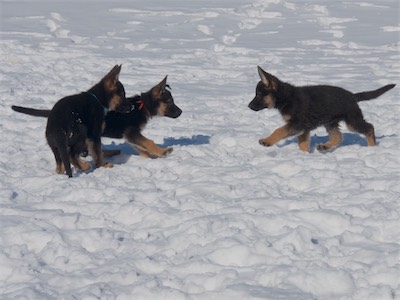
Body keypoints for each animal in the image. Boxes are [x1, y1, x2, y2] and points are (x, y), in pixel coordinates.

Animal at [248, 67, 396, 154]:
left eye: (259, 94)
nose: (249, 106)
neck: (286, 97)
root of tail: (352, 96)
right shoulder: (304, 128)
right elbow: (302, 143)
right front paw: (304, 155)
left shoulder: (297, 124)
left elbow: (279, 130)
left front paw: (267, 141)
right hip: (330, 122)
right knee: (338, 136)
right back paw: (325, 147)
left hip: (351, 120)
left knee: (369, 127)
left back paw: (372, 148)